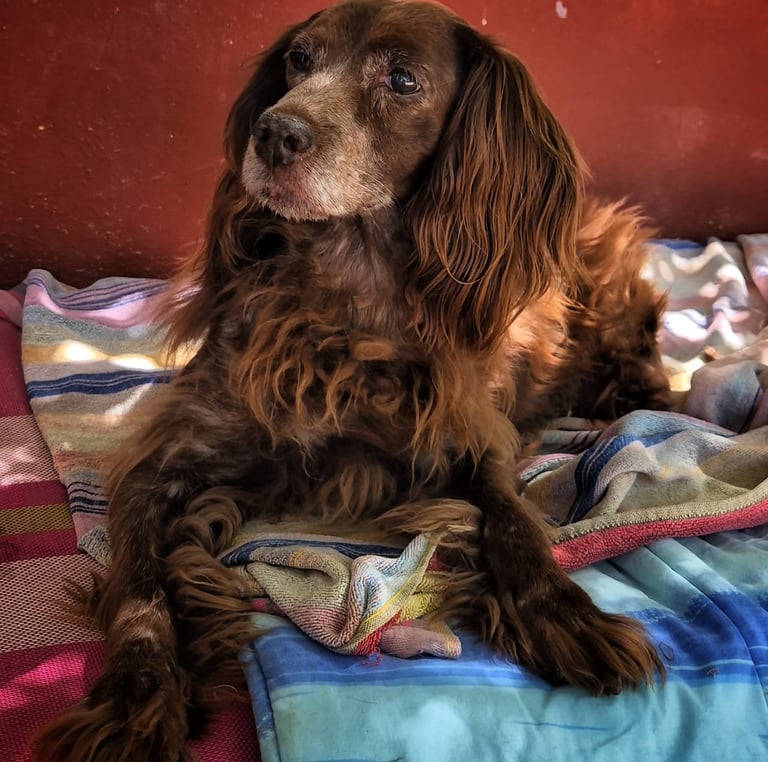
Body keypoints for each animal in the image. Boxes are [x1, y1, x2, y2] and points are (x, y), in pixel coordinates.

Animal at [33, 1, 671, 759]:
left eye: (402, 79)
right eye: (299, 59)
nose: (275, 133)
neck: (350, 289)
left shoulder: (474, 442)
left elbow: (514, 523)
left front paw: (564, 615)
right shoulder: (165, 460)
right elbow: (138, 589)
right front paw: (136, 699)